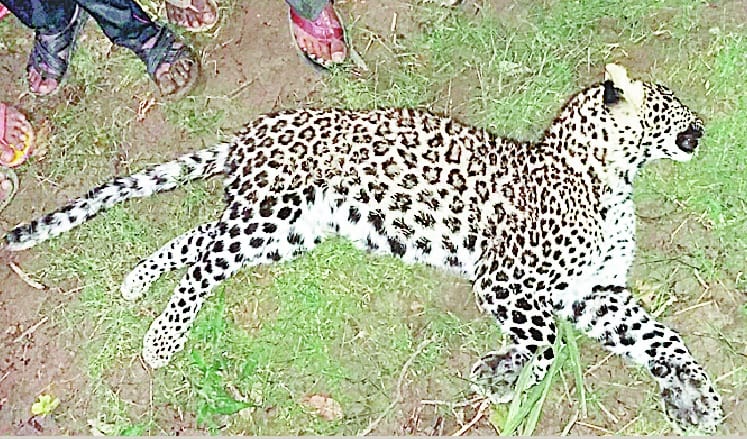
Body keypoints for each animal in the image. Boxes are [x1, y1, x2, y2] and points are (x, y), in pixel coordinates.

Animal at [2, 64, 722, 433]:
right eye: (670, 105)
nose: (704, 127)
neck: (608, 178)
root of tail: (252, 130)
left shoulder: (593, 291)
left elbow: (663, 338)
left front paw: (696, 398)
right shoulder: (509, 282)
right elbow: (543, 345)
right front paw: (500, 373)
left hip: (286, 230)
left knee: (197, 238)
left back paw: (136, 280)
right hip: (272, 212)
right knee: (205, 258)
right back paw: (161, 337)